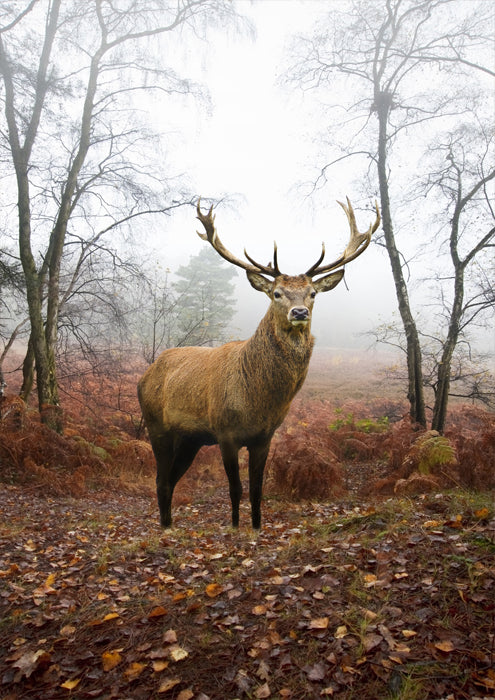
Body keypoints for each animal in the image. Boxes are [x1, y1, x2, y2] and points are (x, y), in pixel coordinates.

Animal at [138, 197, 380, 529]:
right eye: (276, 293)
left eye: (313, 293)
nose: (300, 312)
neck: (257, 399)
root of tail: (145, 375)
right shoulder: (225, 432)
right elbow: (235, 488)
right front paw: (235, 526)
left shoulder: (264, 436)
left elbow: (257, 489)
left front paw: (255, 526)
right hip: (156, 425)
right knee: (161, 479)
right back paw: (165, 527)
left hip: (190, 439)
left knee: (172, 479)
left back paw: (169, 523)